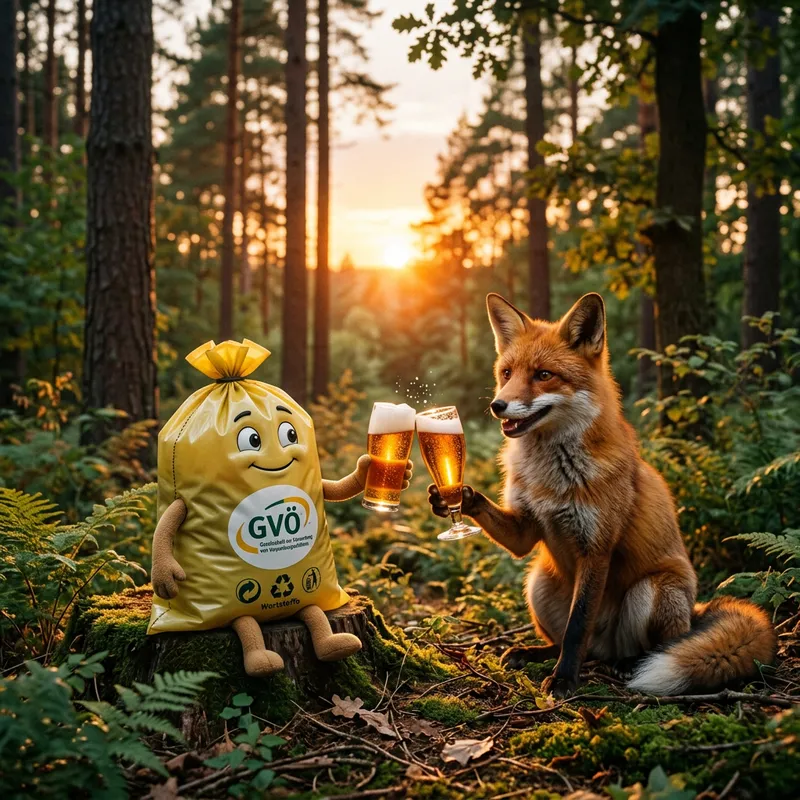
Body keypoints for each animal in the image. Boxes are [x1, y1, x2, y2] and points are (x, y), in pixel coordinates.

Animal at [428, 292, 777, 697]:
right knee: (578, 645)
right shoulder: (526, 529)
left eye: (543, 375)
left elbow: (577, 627)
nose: (497, 405)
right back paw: (536, 653)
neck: (552, 475)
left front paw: (564, 679)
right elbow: (563, 619)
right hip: (537, 582)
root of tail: (695, 611)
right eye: (507, 374)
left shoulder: (596, 547)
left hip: (651, 591)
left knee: (651, 644)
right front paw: (455, 498)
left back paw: (630, 663)